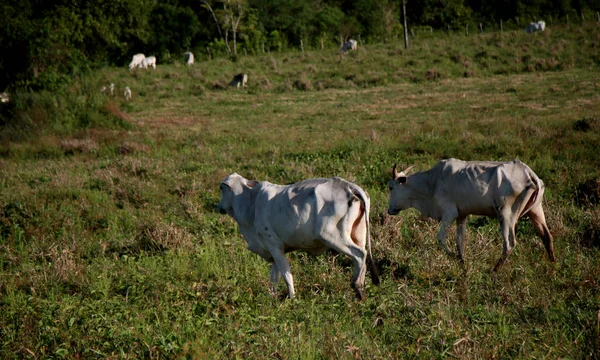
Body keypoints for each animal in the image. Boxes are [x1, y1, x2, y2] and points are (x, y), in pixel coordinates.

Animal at [218, 173, 382, 300]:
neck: (251, 203)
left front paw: (291, 298)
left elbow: (286, 274)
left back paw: (357, 286)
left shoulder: (274, 245)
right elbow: (274, 277)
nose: (218, 206)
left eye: (221, 188)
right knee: (362, 260)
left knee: (360, 254)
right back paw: (360, 291)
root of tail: (348, 186)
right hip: (358, 234)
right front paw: (273, 297)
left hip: (332, 236)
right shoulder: (273, 250)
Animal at [386, 159, 556, 272]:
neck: (432, 182)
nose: (389, 210)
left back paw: (494, 270)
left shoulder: (449, 213)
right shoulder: (462, 216)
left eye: (390, 187)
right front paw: (462, 263)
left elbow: (441, 238)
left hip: (506, 215)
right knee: (546, 236)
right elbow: (459, 241)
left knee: (509, 244)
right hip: (536, 210)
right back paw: (553, 265)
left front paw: (455, 257)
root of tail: (528, 173)